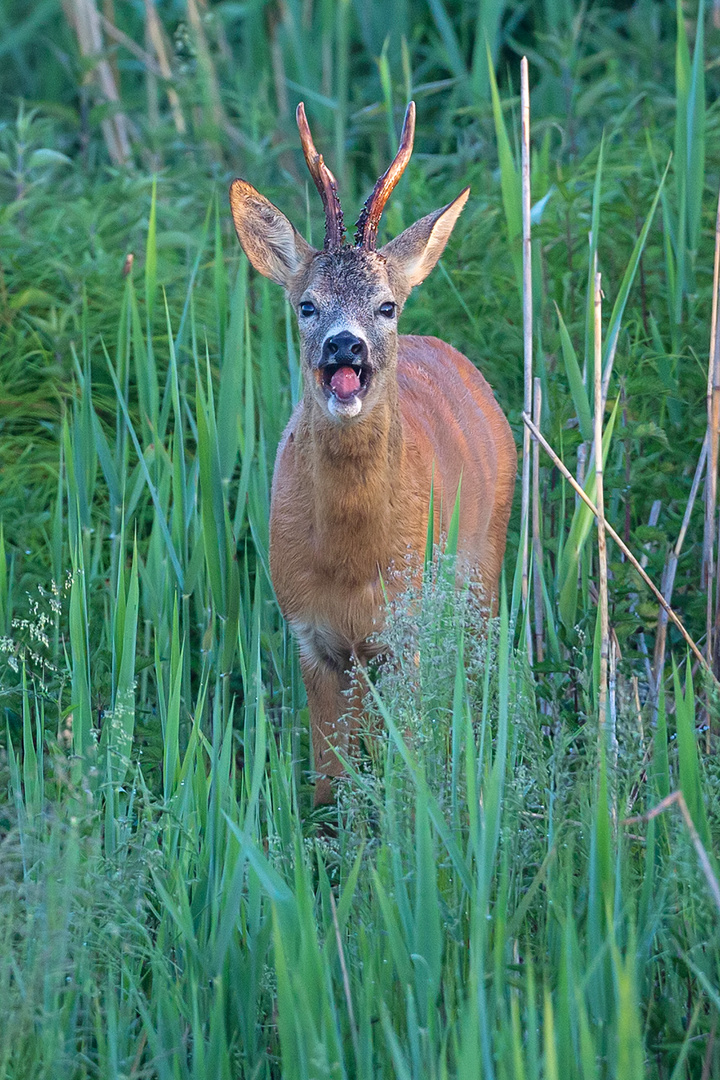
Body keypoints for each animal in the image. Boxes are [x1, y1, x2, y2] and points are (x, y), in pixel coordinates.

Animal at [231, 105, 518, 807]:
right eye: (306, 304)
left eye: (385, 304)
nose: (346, 345)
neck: (350, 559)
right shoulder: (311, 635)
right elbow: (329, 785)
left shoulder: (406, 629)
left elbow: (405, 771)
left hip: (483, 570)